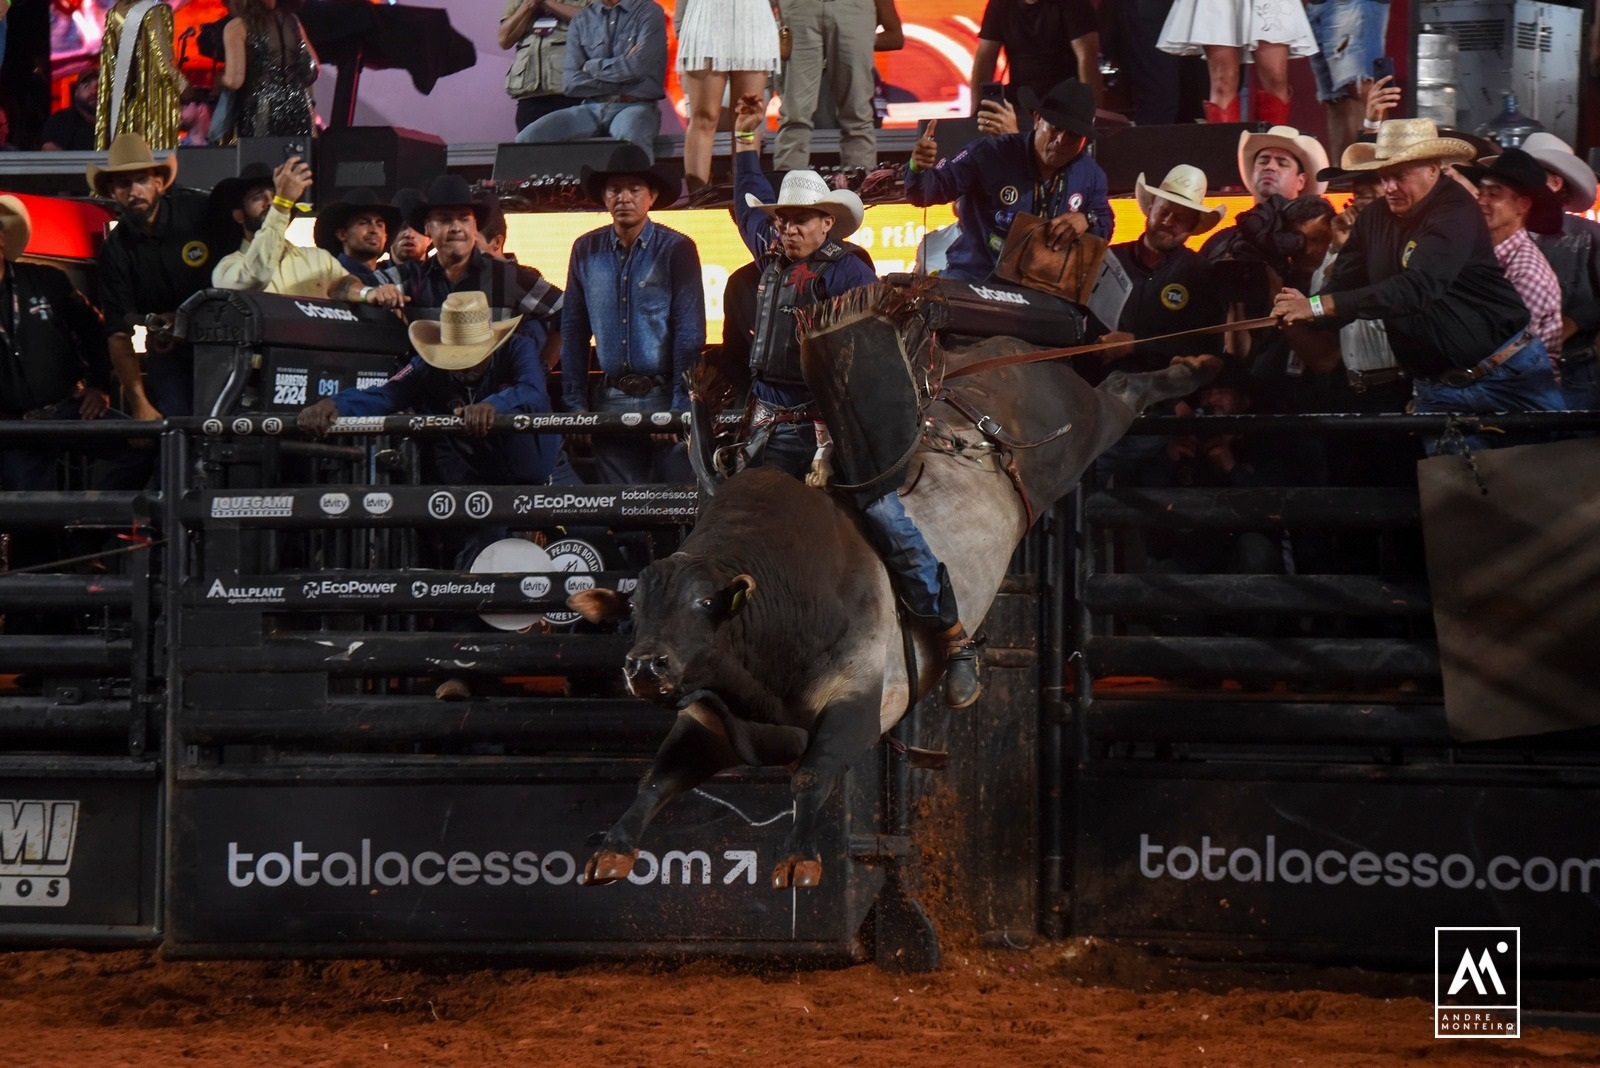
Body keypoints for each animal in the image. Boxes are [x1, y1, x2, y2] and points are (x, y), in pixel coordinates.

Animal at [566, 282, 1209, 895]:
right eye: (633, 608)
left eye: (704, 604)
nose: (645, 666)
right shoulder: (709, 723)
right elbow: (656, 779)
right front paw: (610, 851)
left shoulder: (861, 700)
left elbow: (812, 772)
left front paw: (800, 860)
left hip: (1077, 429)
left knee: (1120, 389)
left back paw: (1190, 367)